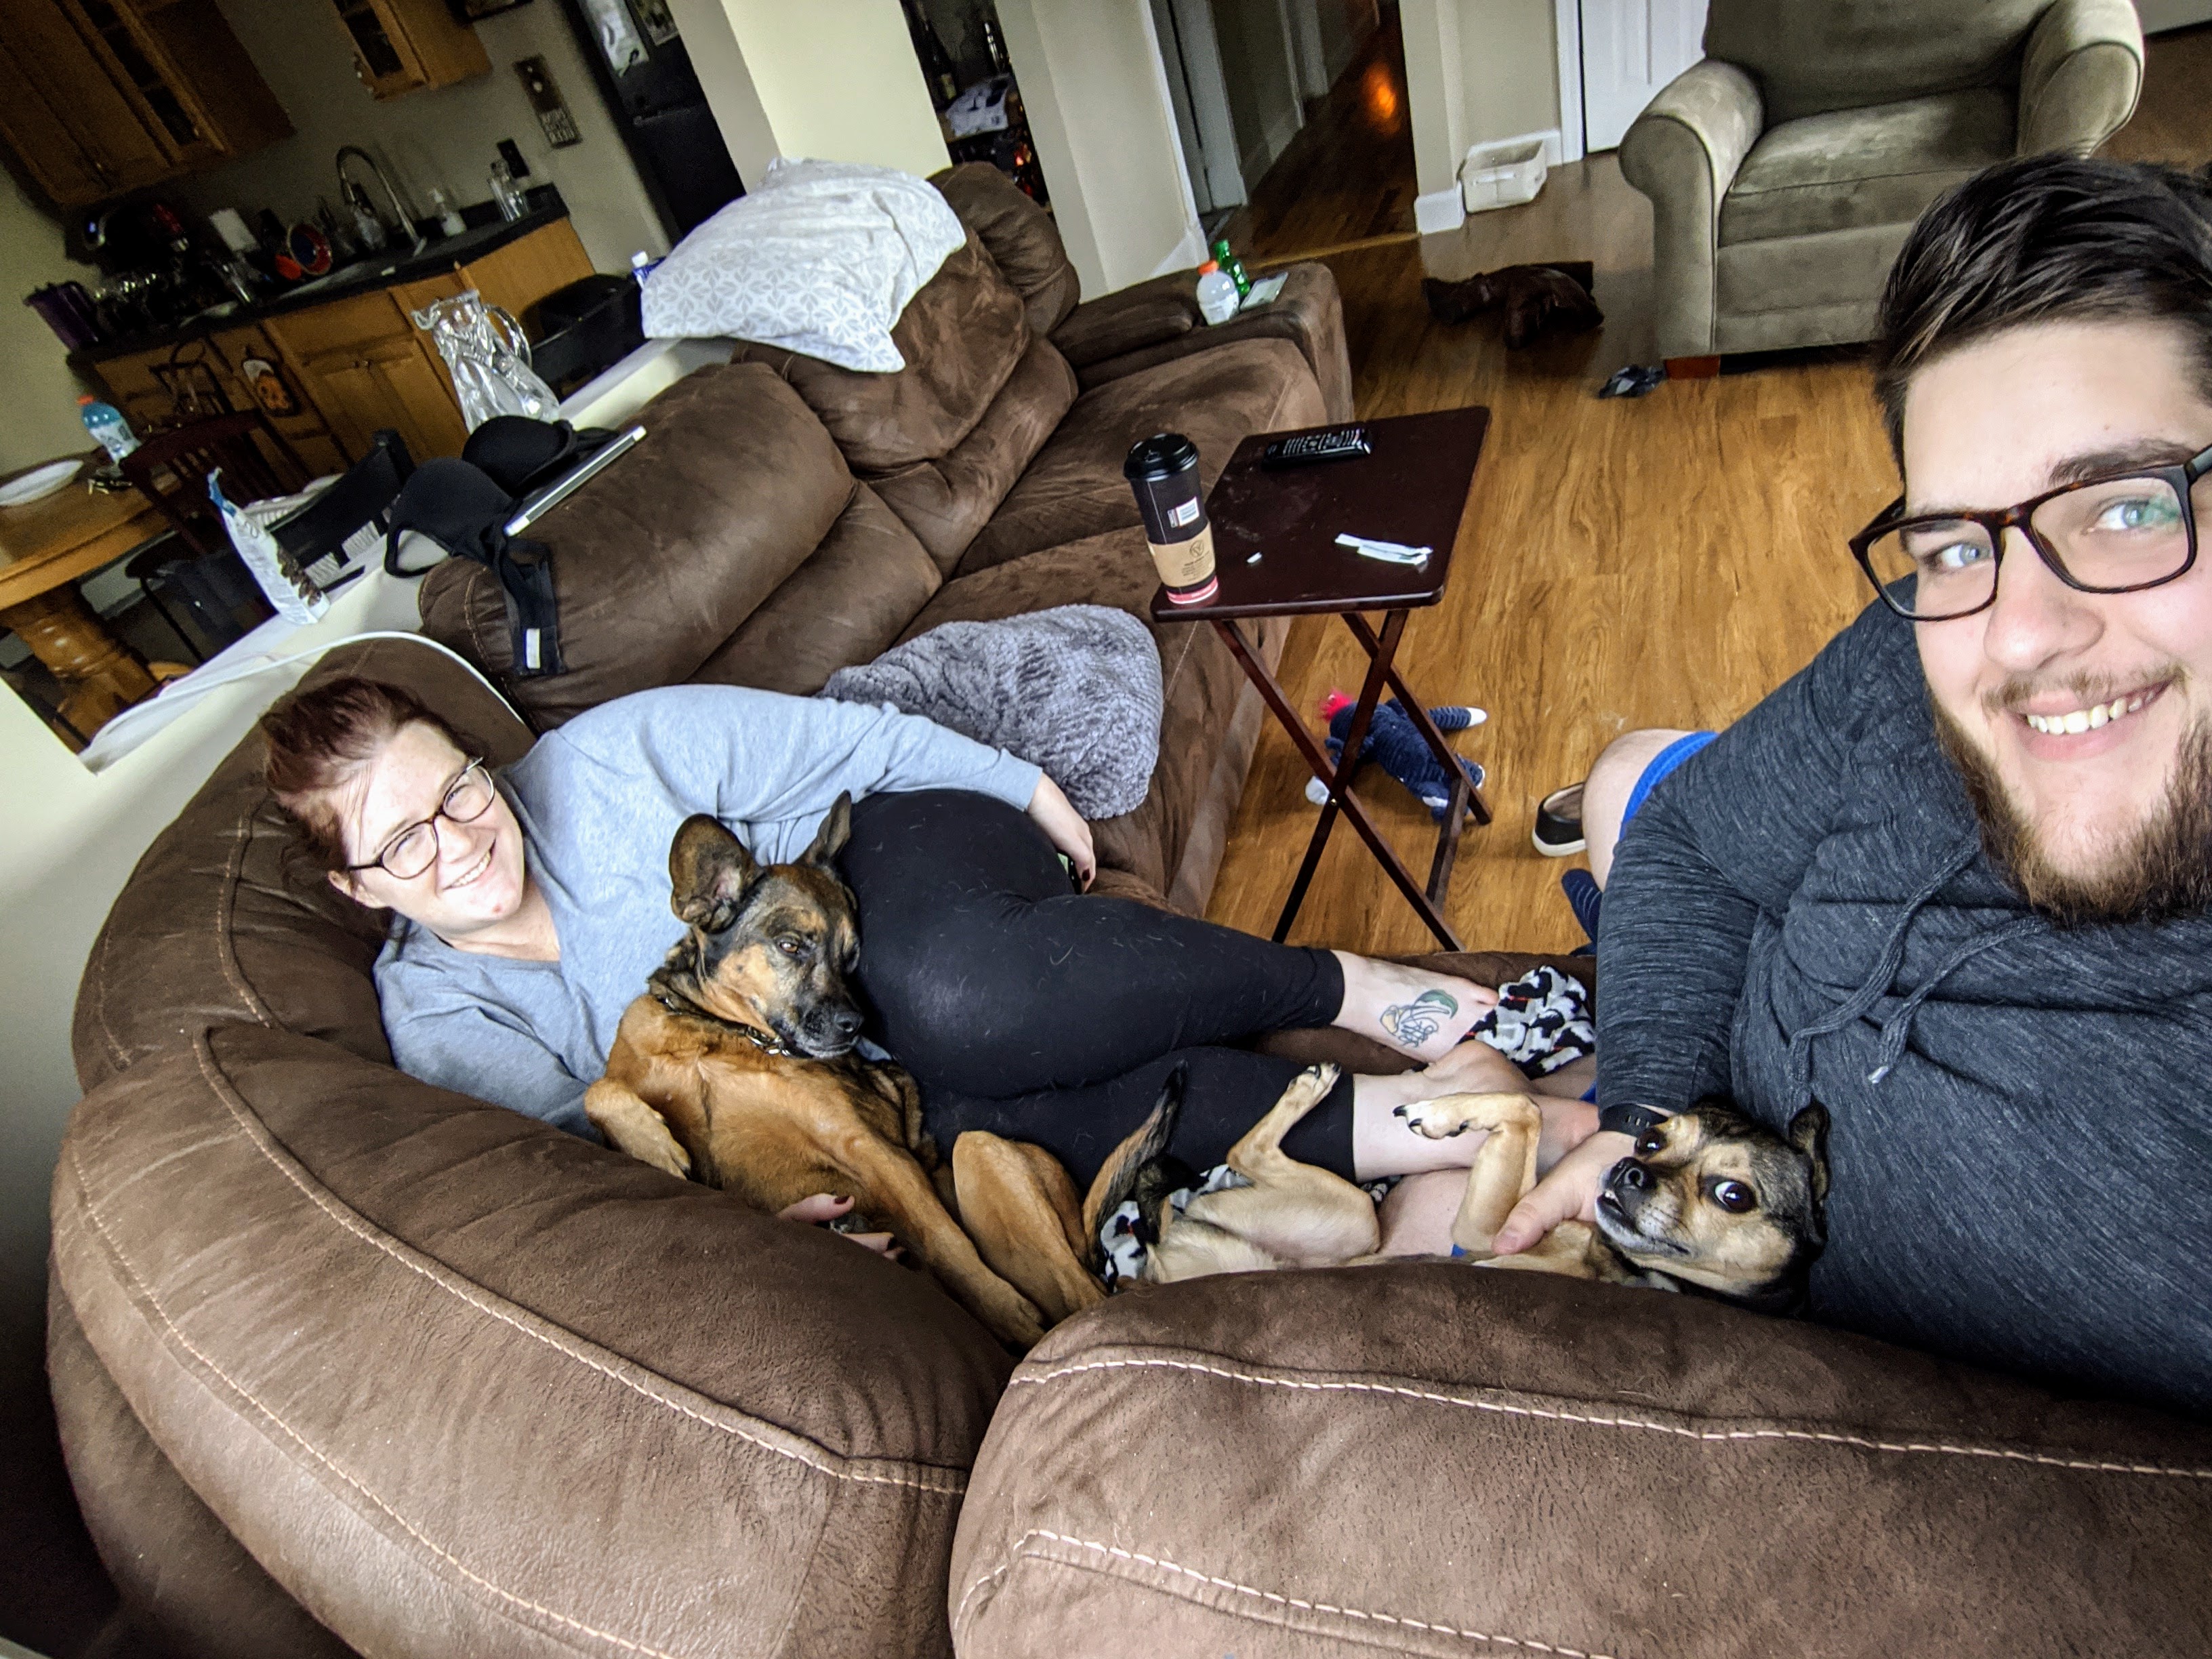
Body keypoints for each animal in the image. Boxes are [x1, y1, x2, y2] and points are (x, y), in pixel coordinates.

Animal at [579, 800, 1097, 1353]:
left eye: (850, 957)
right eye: (791, 946)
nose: (856, 1026)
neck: (724, 1034)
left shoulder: (869, 1147)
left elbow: (948, 1241)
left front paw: (1002, 1309)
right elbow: (599, 1092)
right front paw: (653, 1145)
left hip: (979, 1152)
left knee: (1082, 1293)